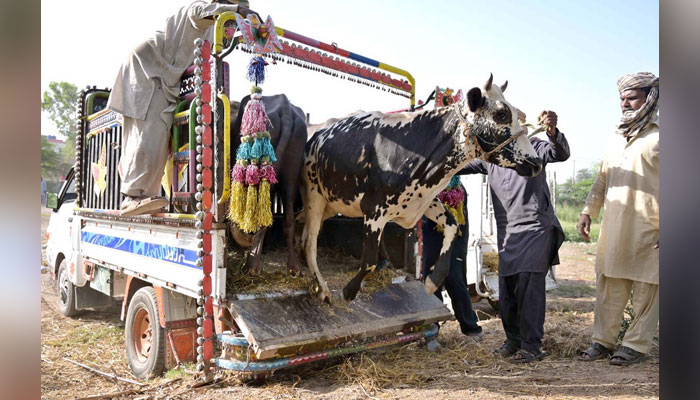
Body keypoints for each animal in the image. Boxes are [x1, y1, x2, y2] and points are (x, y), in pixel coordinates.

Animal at [301, 74, 543, 304]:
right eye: (501, 114)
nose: (537, 163)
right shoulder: (374, 209)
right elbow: (368, 261)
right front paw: (349, 291)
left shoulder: (424, 200)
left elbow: (452, 227)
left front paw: (433, 280)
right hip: (314, 196)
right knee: (311, 241)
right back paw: (322, 288)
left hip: (330, 205)